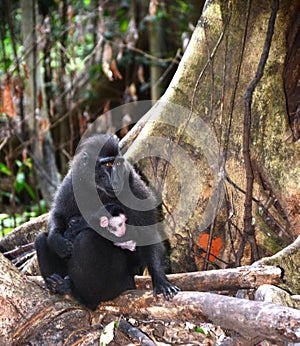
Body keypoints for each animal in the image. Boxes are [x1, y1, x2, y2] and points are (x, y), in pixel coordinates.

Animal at [36, 134, 179, 308]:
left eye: (118, 164)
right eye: (108, 164)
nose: (116, 178)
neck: (98, 188)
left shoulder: (133, 185)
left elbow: (147, 233)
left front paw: (160, 280)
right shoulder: (72, 180)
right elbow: (58, 214)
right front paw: (58, 241)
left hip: (121, 280)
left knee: (86, 240)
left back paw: (79, 296)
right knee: (40, 239)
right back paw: (58, 285)